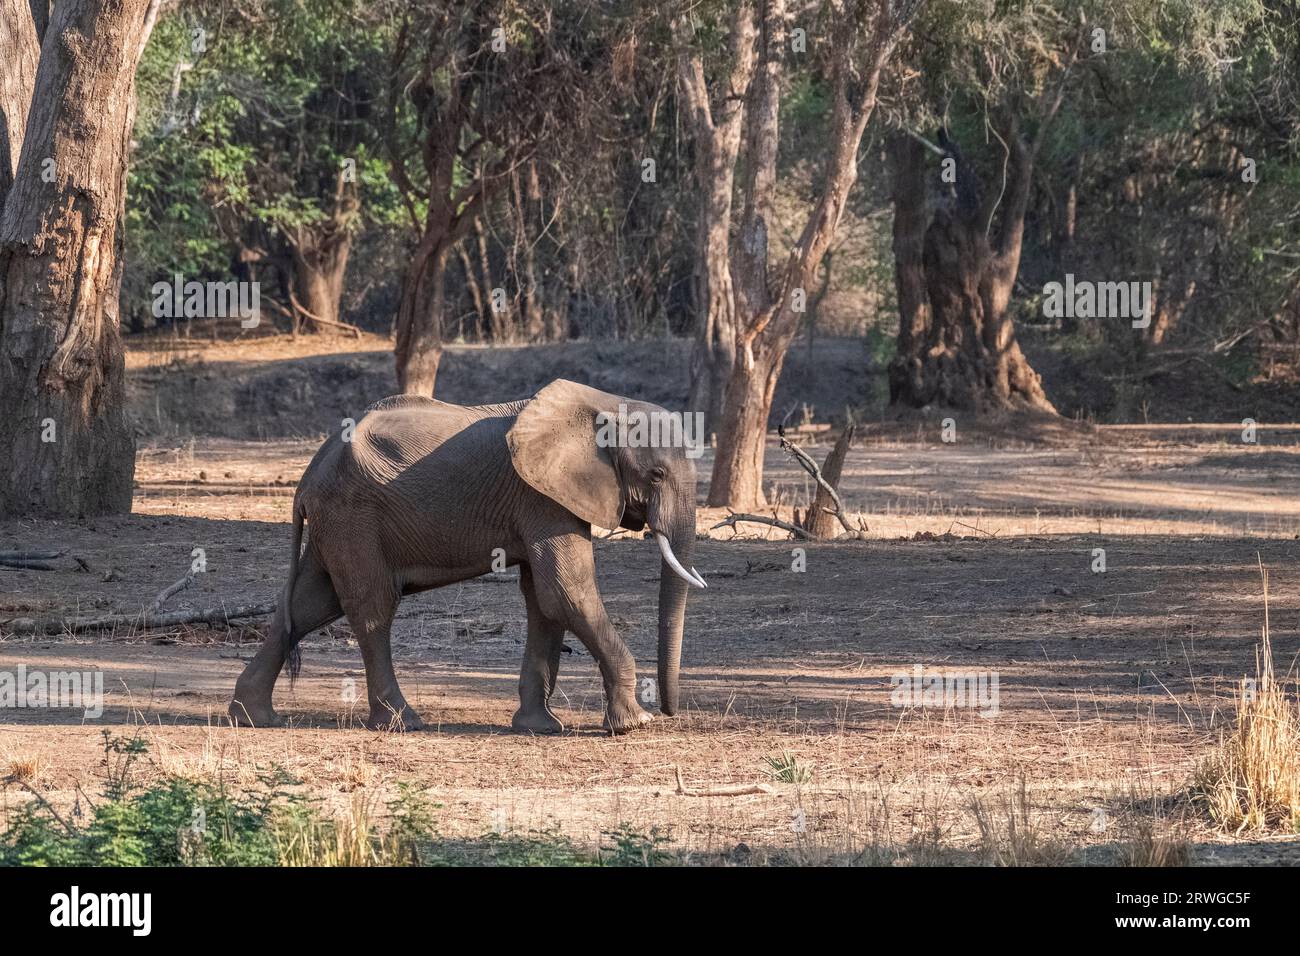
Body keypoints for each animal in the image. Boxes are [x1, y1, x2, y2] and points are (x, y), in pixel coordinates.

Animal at [228, 379, 707, 733]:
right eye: (656, 474)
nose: (669, 712)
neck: (602, 404)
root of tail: (310, 471)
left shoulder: (541, 498)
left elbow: (544, 600)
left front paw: (540, 728)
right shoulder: (541, 497)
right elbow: (565, 592)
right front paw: (634, 724)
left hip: (336, 520)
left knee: (308, 603)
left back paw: (252, 718)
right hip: (352, 515)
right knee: (372, 607)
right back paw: (402, 722)